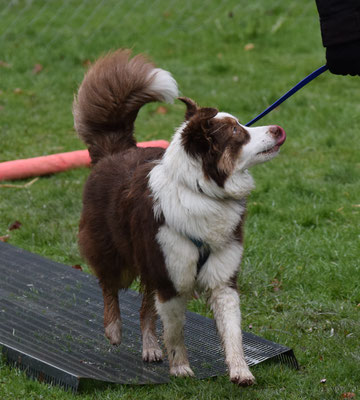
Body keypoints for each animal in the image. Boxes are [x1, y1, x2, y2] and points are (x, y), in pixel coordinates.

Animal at [74, 48, 286, 386]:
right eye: (237, 132)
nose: (278, 129)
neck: (202, 192)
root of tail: (117, 151)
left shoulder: (222, 278)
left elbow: (233, 331)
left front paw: (241, 370)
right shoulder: (170, 276)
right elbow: (175, 332)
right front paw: (181, 367)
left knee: (145, 309)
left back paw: (150, 347)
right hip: (114, 250)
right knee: (109, 286)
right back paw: (114, 329)